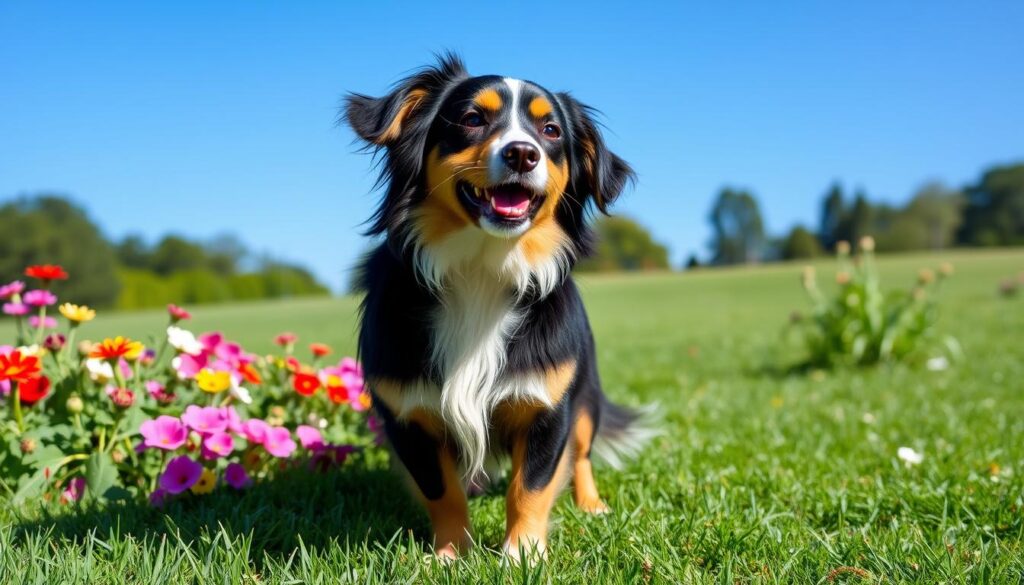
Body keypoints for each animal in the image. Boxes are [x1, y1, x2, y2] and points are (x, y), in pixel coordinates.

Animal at [344, 56, 647, 561]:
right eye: (471, 119)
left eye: (550, 130)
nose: (523, 153)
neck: (483, 267)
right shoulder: (408, 415)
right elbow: (442, 491)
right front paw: (451, 555)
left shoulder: (548, 405)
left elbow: (531, 486)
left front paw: (522, 556)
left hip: (585, 394)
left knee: (582, 454)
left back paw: (592, 506)